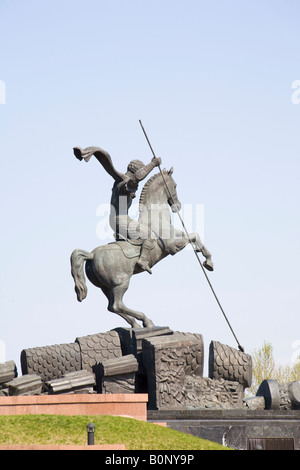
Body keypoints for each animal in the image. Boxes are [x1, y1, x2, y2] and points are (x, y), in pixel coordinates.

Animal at [70, 168, 213, 326]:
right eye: (175, 185)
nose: (178, 206)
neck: (155, 217)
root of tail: (92, 255)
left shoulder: (175, 235)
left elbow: (193, 235)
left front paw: (206, 259)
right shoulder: (172, 247)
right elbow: (193, 236)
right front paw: (208, 261)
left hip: (106, 288)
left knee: (112, 307)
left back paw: (137, 324)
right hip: (121, 283)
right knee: (117, 305)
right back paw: (146, 321)